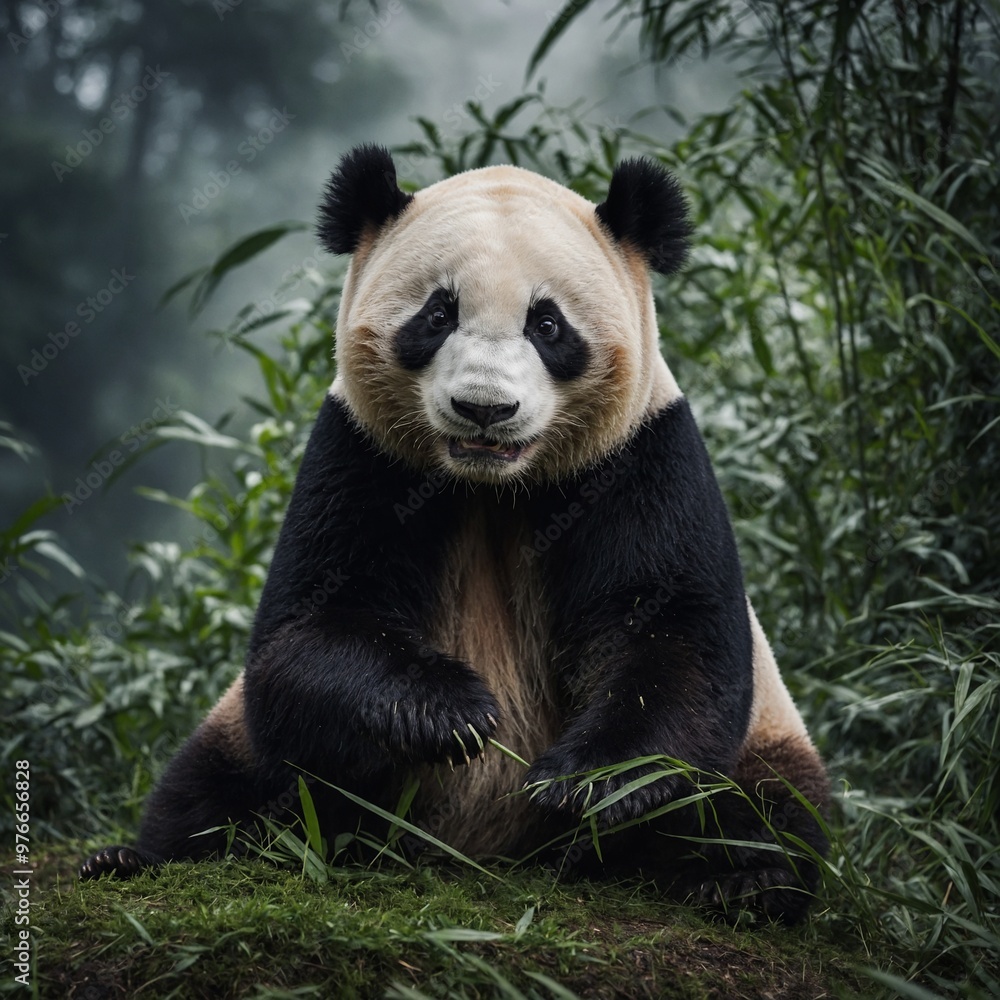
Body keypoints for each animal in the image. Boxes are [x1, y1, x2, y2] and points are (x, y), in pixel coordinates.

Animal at [80, 144, 829, 923]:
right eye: (438, 314)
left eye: (547, 325)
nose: (484, 408)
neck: (493, 484)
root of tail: (481, 853)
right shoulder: (361, 453)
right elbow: (306, 634)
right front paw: (454, 713)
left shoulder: (643, 457)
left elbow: (676, 636)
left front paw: (583, 785)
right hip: (245, 742)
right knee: (215, 779)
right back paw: (131, 858)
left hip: (770, 735)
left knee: (769, 806)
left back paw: (743, 883)